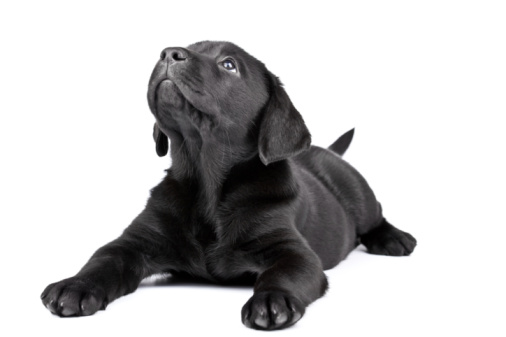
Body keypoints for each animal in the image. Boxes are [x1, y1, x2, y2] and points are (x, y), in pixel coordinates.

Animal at [41, 40, 416, 330]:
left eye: (229, 65)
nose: (168, 53)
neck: (205, 180)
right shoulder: (136, 241)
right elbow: (103, 259)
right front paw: (75, 285)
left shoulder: (293, 251)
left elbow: (283, 274)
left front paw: (272, 300)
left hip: (358, 191)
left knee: (375, 216)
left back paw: (395, 238)